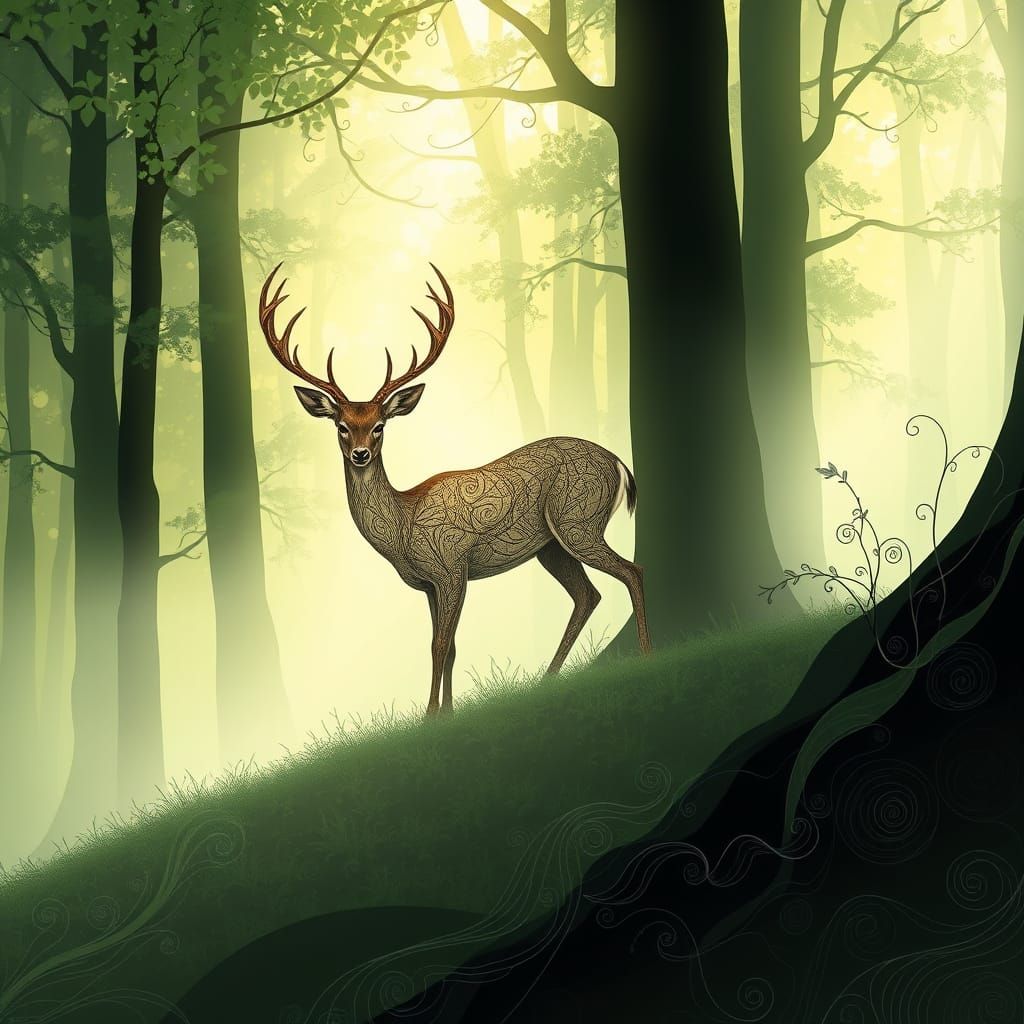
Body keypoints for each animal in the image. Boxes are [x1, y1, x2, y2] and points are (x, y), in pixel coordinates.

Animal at [258, 262, 651, 716]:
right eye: (341, 425)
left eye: (379, 426)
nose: (360, 454)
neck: (404, 525)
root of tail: (619, 464)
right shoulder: (430, 583)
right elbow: (450, 646)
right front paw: (448, 712)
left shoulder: (451, 567)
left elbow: (439, 645)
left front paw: (429, 714)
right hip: (552, 546)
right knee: (588, 595)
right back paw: (547, 678)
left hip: (579, 518)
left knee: (631, 571)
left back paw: (646, 654)